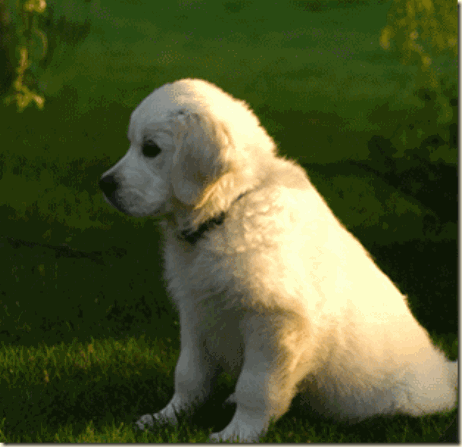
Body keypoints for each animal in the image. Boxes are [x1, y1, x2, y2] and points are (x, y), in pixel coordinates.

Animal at [98, 79, 458, 442]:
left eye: (151, 149)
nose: (104, 184)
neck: (227, 211)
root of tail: (445, 373)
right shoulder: (196, 312)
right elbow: (188, 376)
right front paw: (165, 417)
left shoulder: (274, 321)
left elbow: (255, 388)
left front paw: (237, 434)